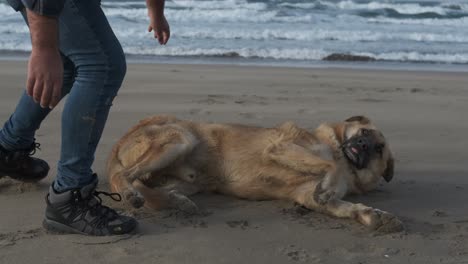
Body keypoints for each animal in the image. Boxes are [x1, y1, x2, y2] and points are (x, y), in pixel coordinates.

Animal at [108, 115, 404, 233]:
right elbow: (327, 167)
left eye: (379, 149)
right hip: (180, 140)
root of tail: (119, 141)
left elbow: (348, 206)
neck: (344, 158)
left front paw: (374, 215)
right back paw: (130, 194)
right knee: (125, 177)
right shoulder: (282, 147)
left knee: (151, 188)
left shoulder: (308, 194)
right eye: (364, 132)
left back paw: (176, 202)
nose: (362, 144)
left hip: (188, 180)